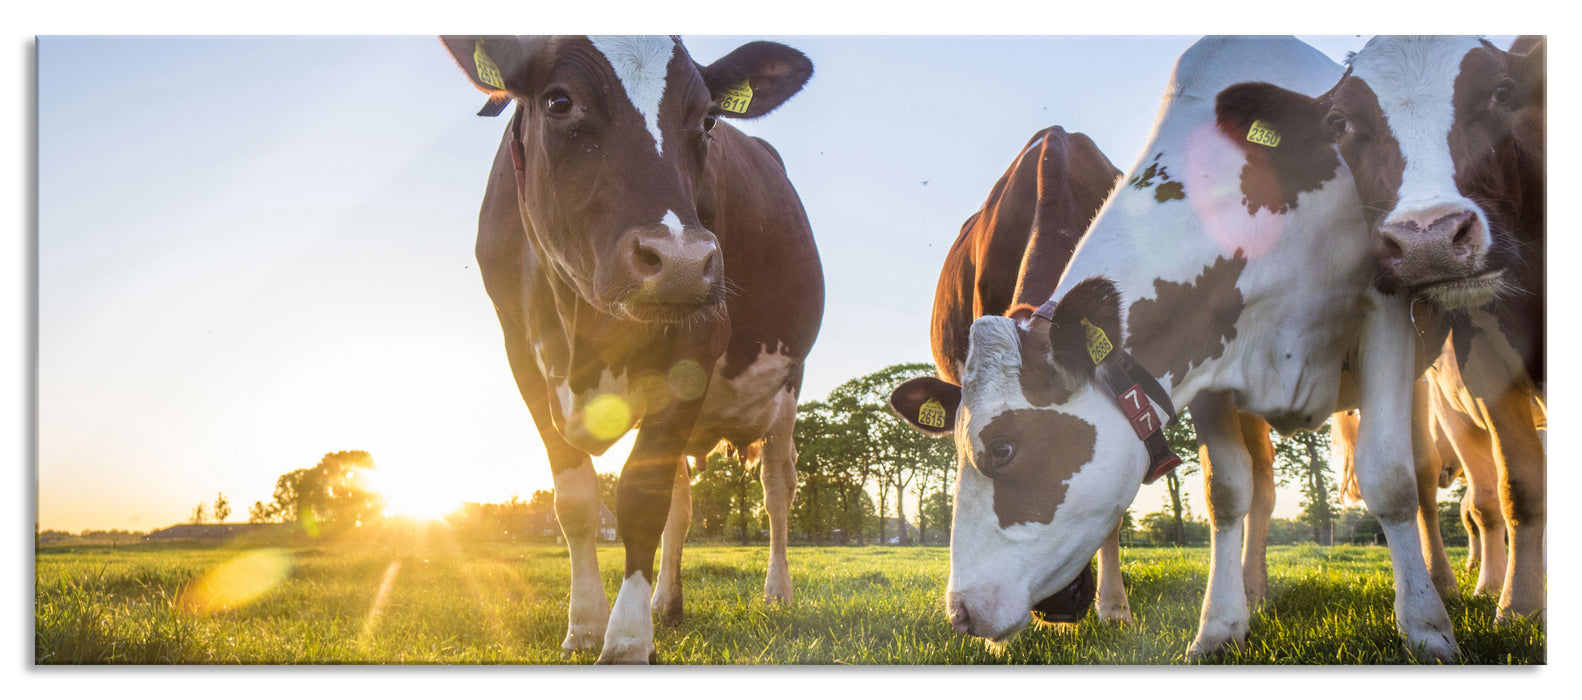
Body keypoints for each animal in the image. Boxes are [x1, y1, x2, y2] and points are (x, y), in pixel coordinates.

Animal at [439, 36, 822, 661]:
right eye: (559, 101)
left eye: (709, 118)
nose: (683, 262)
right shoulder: (522, 356)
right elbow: (575, 501)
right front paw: (584, 625)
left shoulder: (695, 346)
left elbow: (642, 499)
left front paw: (624, 640)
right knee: (684, 504)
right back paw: (667, 603)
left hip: (787, 385)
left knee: (776, 489)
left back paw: (776, 592)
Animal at [892, 36, 1455, 661]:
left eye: (1004, 448)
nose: (961, 612)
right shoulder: (1209, 360)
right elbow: (1226, 491)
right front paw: (1219, 628)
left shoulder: (1387, 309)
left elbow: (1391, 479)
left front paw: (1427, 628)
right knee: (1263, 484)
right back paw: (1254, 591)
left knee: (1424, 472)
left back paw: (1453, 584)